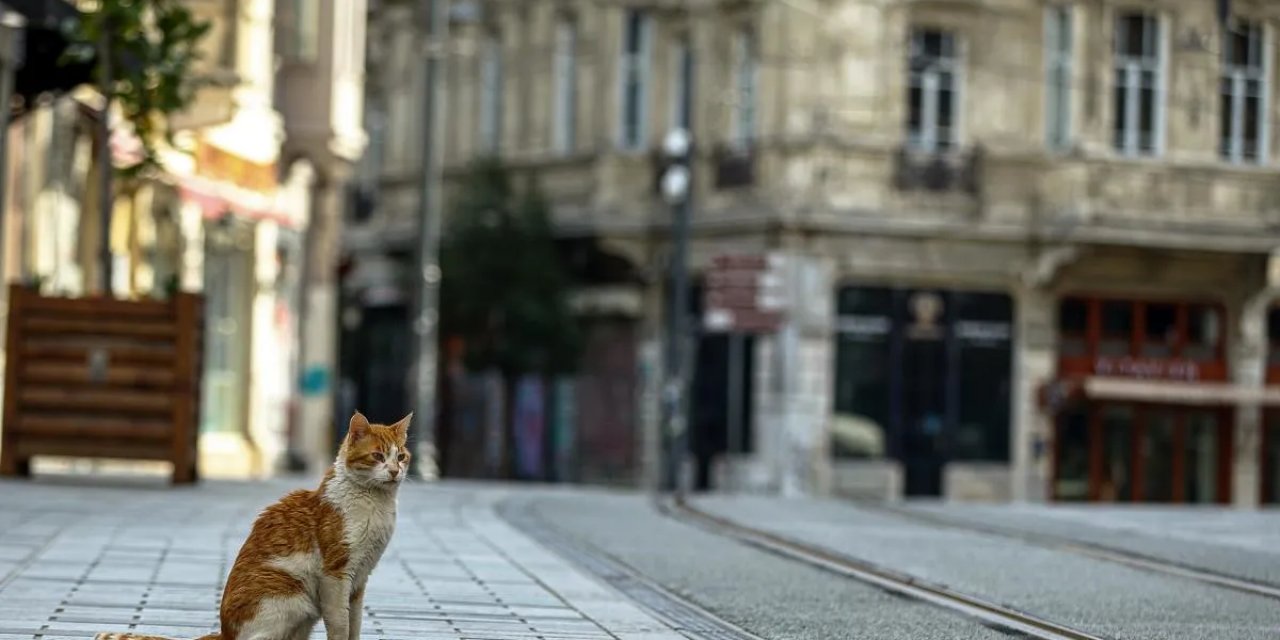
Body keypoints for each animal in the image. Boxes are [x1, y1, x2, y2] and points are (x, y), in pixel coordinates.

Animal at [97, 409, 412, 640]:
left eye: (401, 456)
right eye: (378, 456)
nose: (395, 471)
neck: (377, 506)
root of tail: (224, 634)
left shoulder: (359, 579)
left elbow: (354, 624)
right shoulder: (336, 575)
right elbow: (340, 624)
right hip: (292, 597)